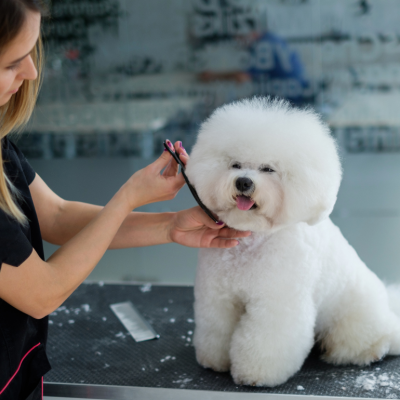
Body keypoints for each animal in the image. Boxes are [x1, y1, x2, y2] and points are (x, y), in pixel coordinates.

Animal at [186, 97, 400, 388]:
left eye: (268, 169)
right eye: (235, 164)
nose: (244, 182)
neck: (253, 241)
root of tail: (389, 310)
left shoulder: (277, 302)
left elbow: (265, 341)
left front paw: (255, 374)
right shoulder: (218, 297)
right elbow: (216, 329)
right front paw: (214, 361)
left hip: (355, 319)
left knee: (368, 341)